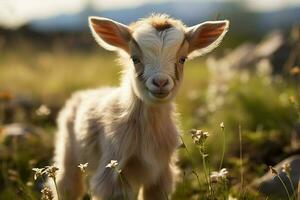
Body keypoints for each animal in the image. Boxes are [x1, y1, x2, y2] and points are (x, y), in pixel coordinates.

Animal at [51, 14, 230, 200]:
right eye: (135, 59)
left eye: (182, 59)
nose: (160, 82)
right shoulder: (112, 172)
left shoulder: (161, 174)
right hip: (67, 151)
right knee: (67, 185)